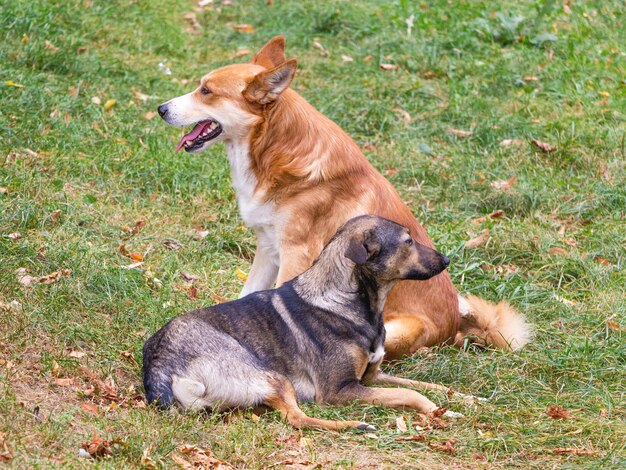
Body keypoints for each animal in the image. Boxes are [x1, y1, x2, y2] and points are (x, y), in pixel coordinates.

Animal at [140, 215, 464, 432]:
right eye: (408, 242)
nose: (447, 260)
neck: (345, 299)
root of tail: (158, 366)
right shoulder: (340, 390)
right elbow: (411, 393)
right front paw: (439, 412)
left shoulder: (373, 377)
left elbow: (427, 385)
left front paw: (464, 398)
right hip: (271, 375)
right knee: (297, 419)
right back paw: (355, 425)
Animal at [155, 36, 528, 360]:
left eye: (206, 91)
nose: (160, 108)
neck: (274, 149)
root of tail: (455, 331)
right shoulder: (268, 249)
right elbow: (247, 297)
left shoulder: (295, 255)